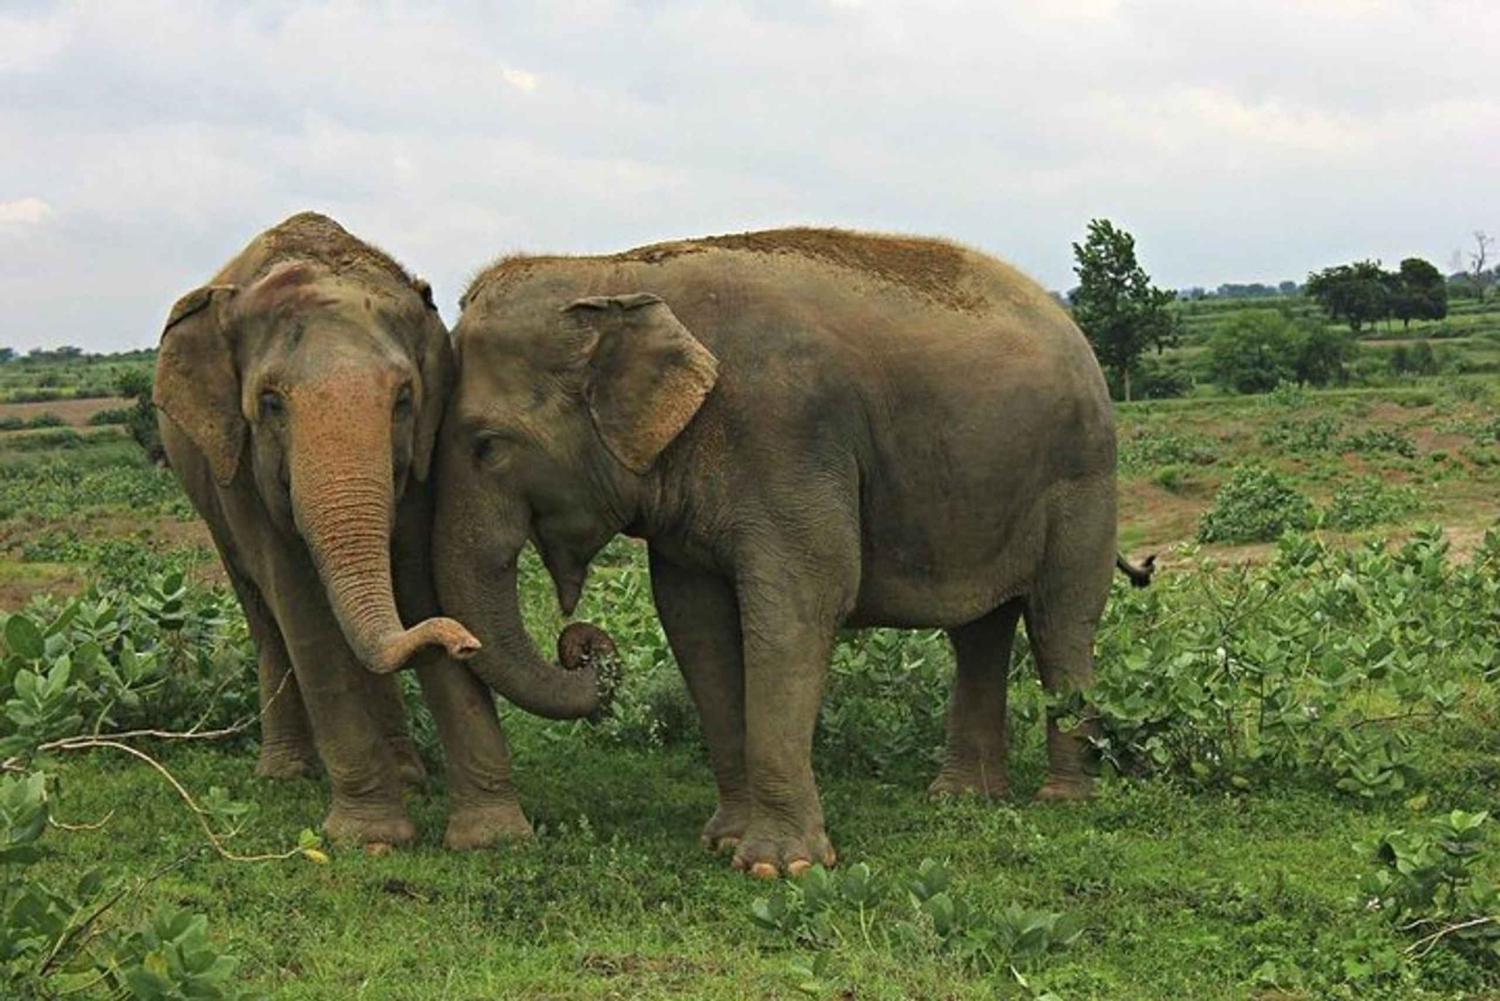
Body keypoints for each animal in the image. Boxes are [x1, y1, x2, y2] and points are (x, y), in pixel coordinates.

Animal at [155, 211, 609, 848]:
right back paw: (285, 773)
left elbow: (418, 583)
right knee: (266, 618)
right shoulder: (240, 470)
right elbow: (303, 611)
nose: (465, 640)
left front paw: (493, 838)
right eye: (269, 403)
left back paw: (409, 774)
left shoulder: (424, 459)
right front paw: (371, 839)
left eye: (402, 399)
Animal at [433, 227, 1149, 877]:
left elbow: (799, 604)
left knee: (1060, 621)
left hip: (1084, 477)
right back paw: (962, 798)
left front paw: (780, 866)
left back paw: (1061, 798)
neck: (612, 271)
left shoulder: (789, 437)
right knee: (979, 632)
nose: (582, 644)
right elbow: (694, 623)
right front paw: (723, 841)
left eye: (488, 446)